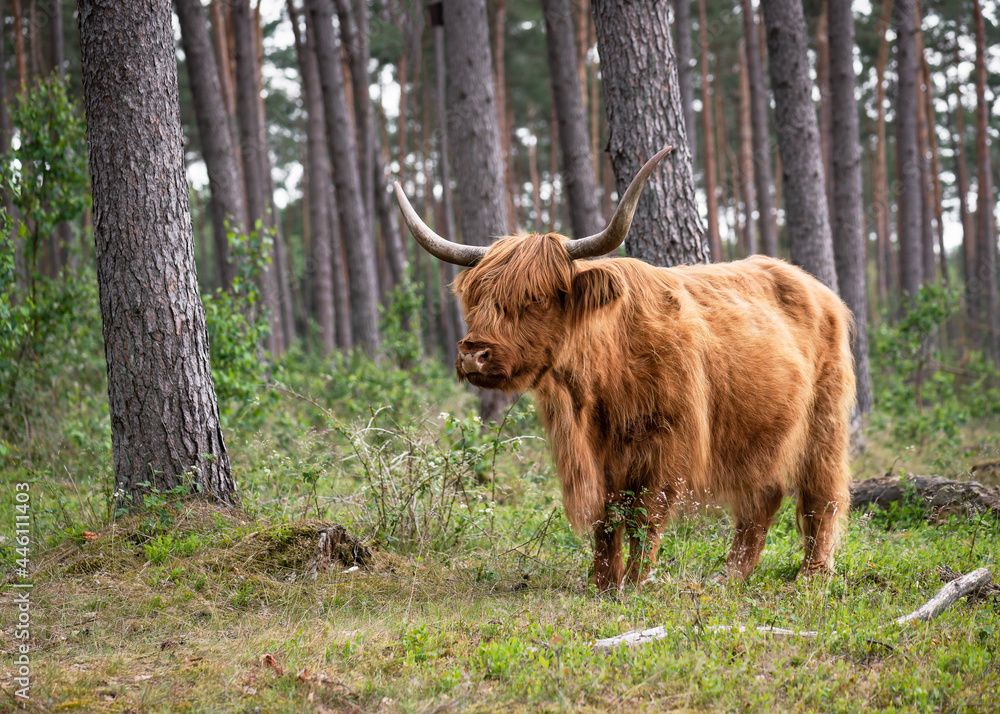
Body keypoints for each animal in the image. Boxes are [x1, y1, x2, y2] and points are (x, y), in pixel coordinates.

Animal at [393, 147, 854, 590]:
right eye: (475, 299)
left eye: (536, 297)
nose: (474, 353)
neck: (599, 383)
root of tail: (817, 287)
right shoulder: (591, 455)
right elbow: (605, 517)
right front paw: (602, 584)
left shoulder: (668, 444)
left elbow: (645, 516)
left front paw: (634, 583)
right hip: (762, 433)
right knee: (763, 499)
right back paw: (730, 578)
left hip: (824, 424)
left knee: (821, 496)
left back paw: (811, 577)